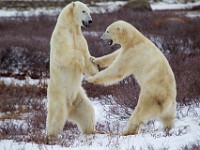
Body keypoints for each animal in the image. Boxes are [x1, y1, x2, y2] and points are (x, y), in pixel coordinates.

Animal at [45, 1, 98, 139]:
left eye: (89, 11)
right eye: (83, 11)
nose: (90, 21)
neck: (71, 27)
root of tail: (70, 108)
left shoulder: (79, 37)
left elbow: (86, 55)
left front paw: (95, 69)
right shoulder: (61, 35)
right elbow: (62, 53)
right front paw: (80, 59)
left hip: (78, 98)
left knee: (87, 111)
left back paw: (92, 131)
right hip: (59, 94)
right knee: (57, 114)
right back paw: (51, 136)